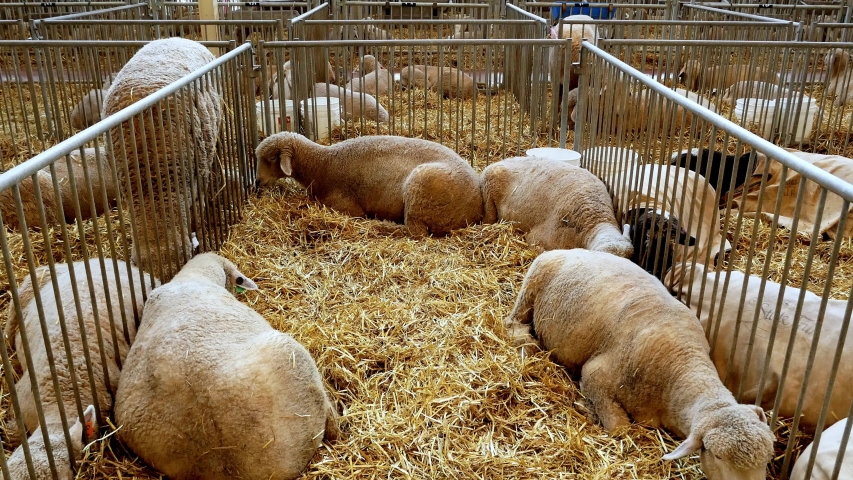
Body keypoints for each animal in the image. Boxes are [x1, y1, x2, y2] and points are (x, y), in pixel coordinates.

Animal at [254, 132, 483, 237]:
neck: (321, 164)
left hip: (421, 190)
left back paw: (381, 225)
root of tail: (475, 208)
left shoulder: (346, 206)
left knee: (415, 232)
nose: (257, 181)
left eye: (271, 159)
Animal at [504, 249, 775, 480]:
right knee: (512, 321)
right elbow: (619, 429)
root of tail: (571, 250)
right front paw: (586, 408)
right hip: (532, 284)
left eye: (767, 457)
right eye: (718, 456)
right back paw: (524, 341)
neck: (682, 367)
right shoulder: (595, 375)